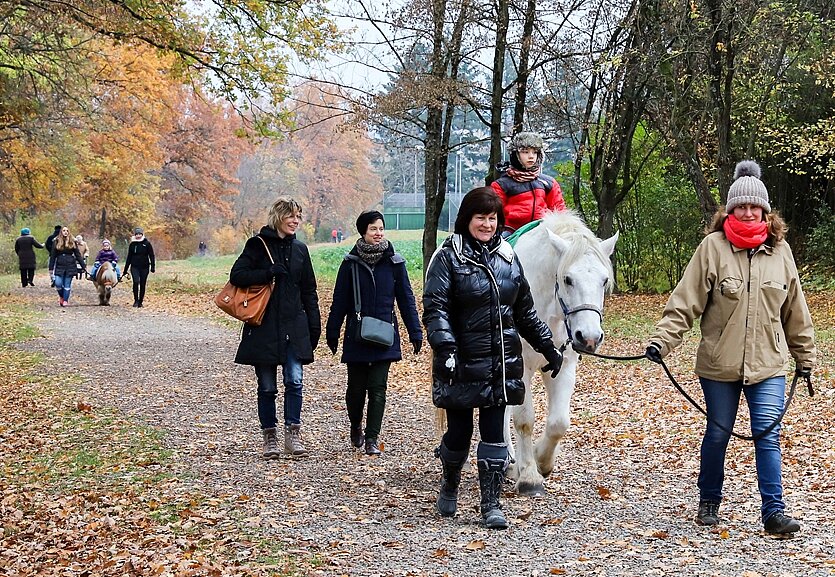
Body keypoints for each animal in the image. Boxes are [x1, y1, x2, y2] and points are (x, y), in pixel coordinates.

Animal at [506, 210, 616, 496]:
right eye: (567, 279)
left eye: (604, 280)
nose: (589, 337)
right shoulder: (521, 368)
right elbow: (524, 420)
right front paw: (529, 476)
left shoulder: (564, 365)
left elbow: (558, 423)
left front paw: (541, 461)